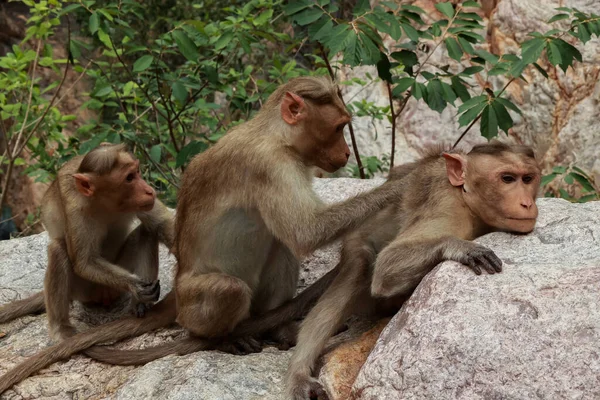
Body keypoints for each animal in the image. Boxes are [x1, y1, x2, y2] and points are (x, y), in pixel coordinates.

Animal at [0, 144, 173, 340]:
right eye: (129, 178)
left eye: (137, 172)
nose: (149, 190)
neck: (106, 203)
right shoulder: (75, 208)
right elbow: (84, 261)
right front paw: (134, 285)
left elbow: (161, 224)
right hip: (83, 290)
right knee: (58, 249)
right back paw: (60, 328)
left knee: (147, 232)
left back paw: (139, 305)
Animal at [284, 141, 540, 396]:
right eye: (507, 179)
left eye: (528, 179)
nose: (527, 203)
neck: (468, 199)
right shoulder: (448, 207)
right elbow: (387, 263)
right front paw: (459, 247)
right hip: (357, 239)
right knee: (360, 267)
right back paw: (299, 372)